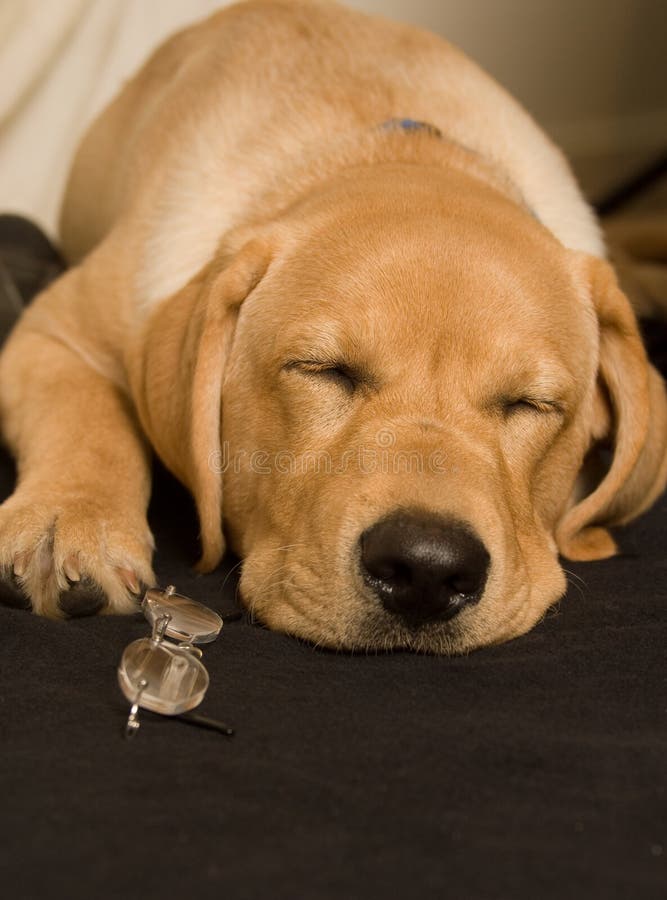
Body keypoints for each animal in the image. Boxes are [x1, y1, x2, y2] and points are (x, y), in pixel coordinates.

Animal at [1, 0, 667, 652]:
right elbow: (85, 418)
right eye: (324, 370)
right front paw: (72, 519)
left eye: (531, 404)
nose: (425, 569)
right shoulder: (55, 330)